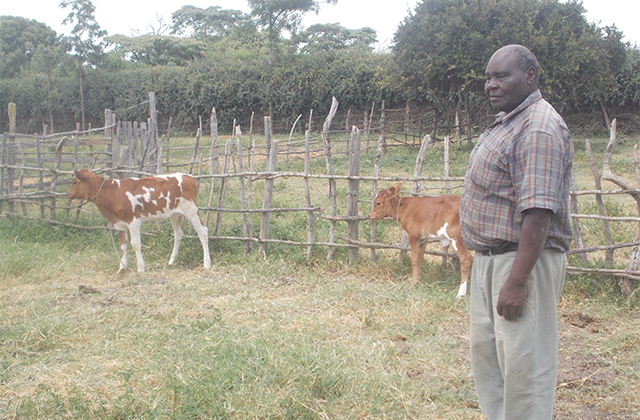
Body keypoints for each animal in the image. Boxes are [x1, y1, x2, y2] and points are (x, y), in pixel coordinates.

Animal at [66, 168, 211, 273]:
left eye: (74, 182)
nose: (67, 194)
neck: (113, 192)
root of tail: (187, 176)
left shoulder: (133, 221)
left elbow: (135, 244)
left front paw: (140, 268)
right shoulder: (121, 224)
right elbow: (123, 245)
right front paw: (121, 268)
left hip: (191, 210)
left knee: (202, 232)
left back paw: (207, 263)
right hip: (175, 214)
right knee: (178, 233)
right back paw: (171, 261)